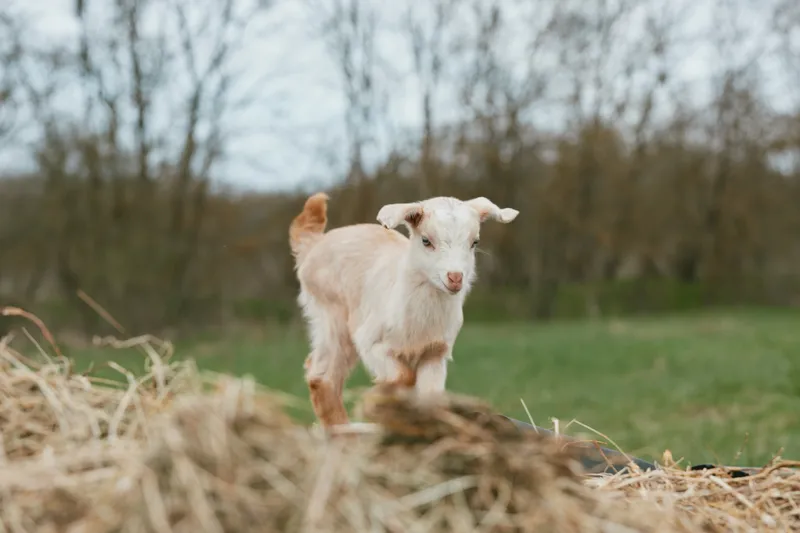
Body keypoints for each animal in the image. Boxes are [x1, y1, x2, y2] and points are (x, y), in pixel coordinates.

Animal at [289, 193, 519, 428]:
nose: (455, 278)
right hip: (333, 317)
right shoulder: (371, 343)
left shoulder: (435, 353)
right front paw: (381, 399)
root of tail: (313, 244)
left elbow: (430, 399)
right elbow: (403, 377)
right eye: (426, 241)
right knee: (322, 376)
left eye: (475, 242)